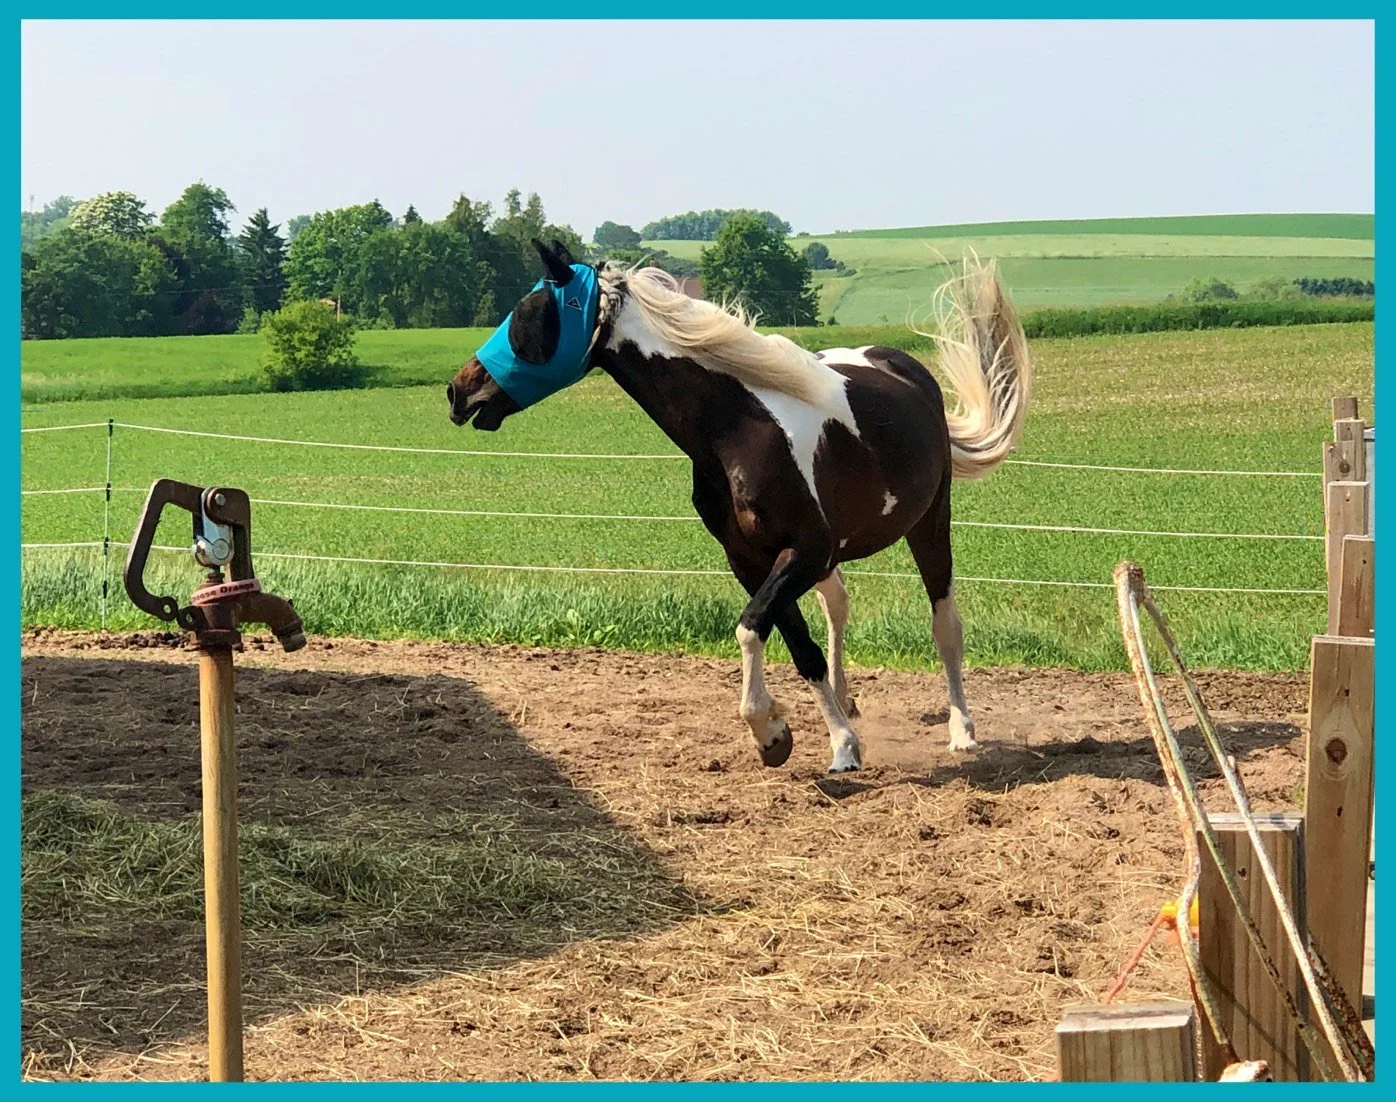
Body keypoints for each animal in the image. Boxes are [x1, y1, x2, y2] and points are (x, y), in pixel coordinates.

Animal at [448, 239, 1032, 773]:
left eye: (529, 314)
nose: (458, 392)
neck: (738, 428)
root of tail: (904, 366)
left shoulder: (802, 553)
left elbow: (751, 628)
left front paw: (788, 734)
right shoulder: (753, 559)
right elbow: (799, 647)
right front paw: (812, 739)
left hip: (930, 520)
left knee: (944, 622)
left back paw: (962, 730)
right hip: (838, 554)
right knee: (839, 605)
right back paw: (849, 700)